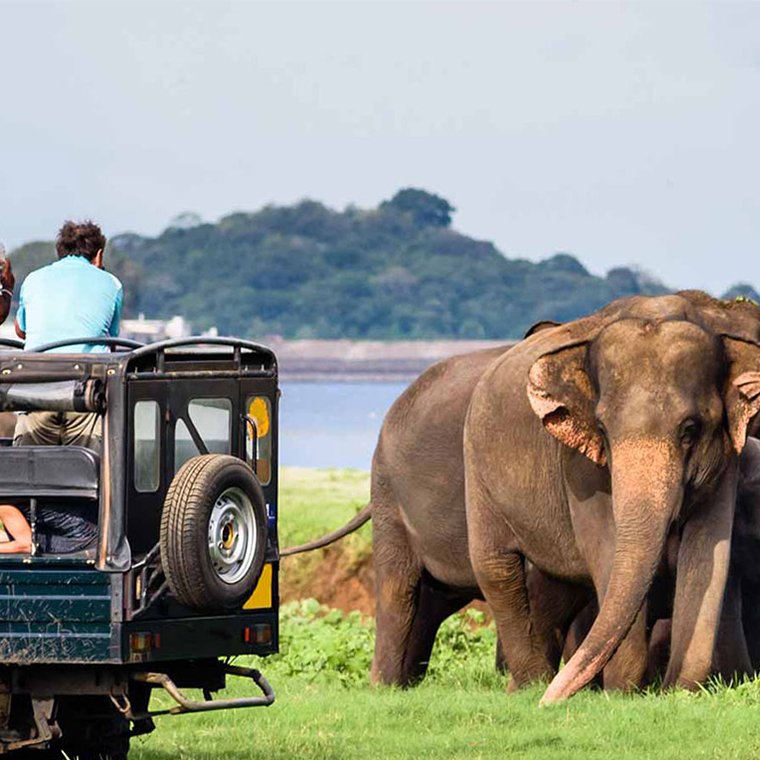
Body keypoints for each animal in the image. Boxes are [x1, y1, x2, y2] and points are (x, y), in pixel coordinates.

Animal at [464, 292, 760, 708]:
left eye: (690, 430)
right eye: (602, 428)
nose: (551, 703)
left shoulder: (727, 459)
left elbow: (708, 552)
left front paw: (677, 691)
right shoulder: (578, 465)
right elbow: (606, 546)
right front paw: (622, 692)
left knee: (553, 587)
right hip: (477, 470)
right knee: (496, 567)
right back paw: (532, 685)